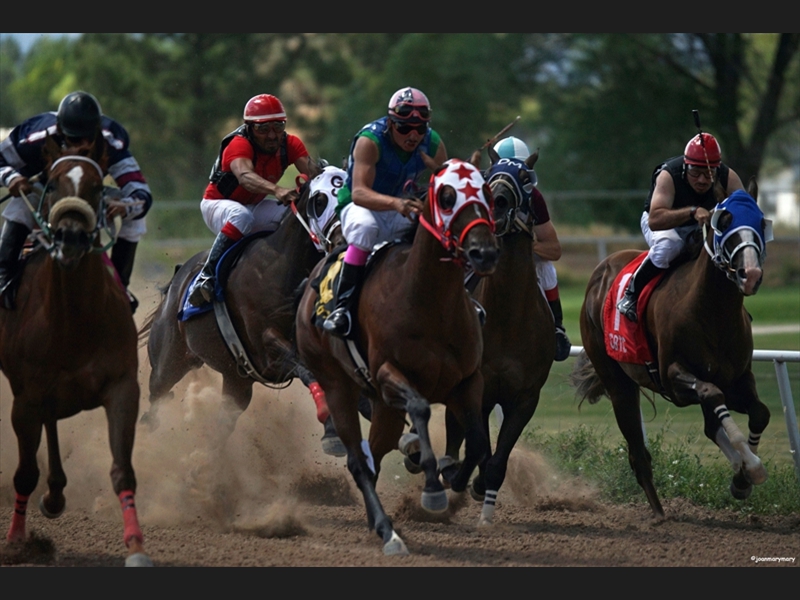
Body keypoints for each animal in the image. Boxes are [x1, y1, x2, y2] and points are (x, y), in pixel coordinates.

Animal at [0, 136, 152, 568]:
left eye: (98, 187)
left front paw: (136, 547)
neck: (75, 321)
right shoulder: (25, 399)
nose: (70, 238)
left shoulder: (122, 389)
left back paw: (56, 494)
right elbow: (24, 473)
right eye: (52, 184)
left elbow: (122, 469)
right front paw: (16, 543)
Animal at [138, 164, 350, 450]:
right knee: (154, 406)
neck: (283, 266)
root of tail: (177, 279)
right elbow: (307, 370)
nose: (343, 240)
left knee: (221, 427)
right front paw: (331, 430)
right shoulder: (267, 345)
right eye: (320, 200)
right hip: (168, 362)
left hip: (236, 382)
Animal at [296, 157, 500, 556]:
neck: (429, 302)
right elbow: (420, 407)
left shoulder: (468, 381)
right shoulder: (388, 375)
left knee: (374, 455)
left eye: (485, 191)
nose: (483, 252)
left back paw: (378, 523)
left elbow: (478, 442)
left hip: (383, 407)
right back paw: (389, 532)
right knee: (359, 461)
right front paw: (433, 488)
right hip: (338, 386)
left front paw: (454, 476)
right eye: (447, 196)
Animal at [438, 146, 556, 524]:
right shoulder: (479, 388)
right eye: (489, 175)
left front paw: (481, 490)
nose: (499, 201)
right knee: (453, 431)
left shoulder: (526, 397)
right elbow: (478, 447)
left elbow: (497, 458)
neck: (508, 316)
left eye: (524, 178)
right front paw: (461, 479)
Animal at [572, 179, 772, 520]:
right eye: (724, 221)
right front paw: (750, 468)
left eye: (760, 222)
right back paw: (658, 512)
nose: (751, 275)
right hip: (617, 381)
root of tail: (600, 271)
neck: (712, 310)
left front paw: (744, 477)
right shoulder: (674, 377)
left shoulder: (738, 377)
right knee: (638, 453)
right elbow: (711, 394)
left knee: (710, 425)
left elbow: (758, 412)